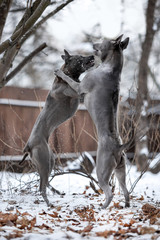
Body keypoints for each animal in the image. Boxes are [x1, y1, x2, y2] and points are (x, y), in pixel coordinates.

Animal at [21, 49, 94, 206]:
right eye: (79, 57)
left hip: (49, 161)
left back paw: (57, 192)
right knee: (42, 186)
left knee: (44, 183)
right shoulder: (78, 94)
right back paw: (48, 203)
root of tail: (29, 145)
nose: (92, 55)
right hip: (44, 162)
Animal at [55, 35, 130, 208]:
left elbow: (69, 80)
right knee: (125, 190)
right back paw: (126, 205)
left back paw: (103, 207)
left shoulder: (79, 87)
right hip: (120, 170)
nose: (93, 43)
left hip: (102, 171)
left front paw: (61, 73)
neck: (111, 69)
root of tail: (118, 147)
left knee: (109, 192)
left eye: (102, 41)